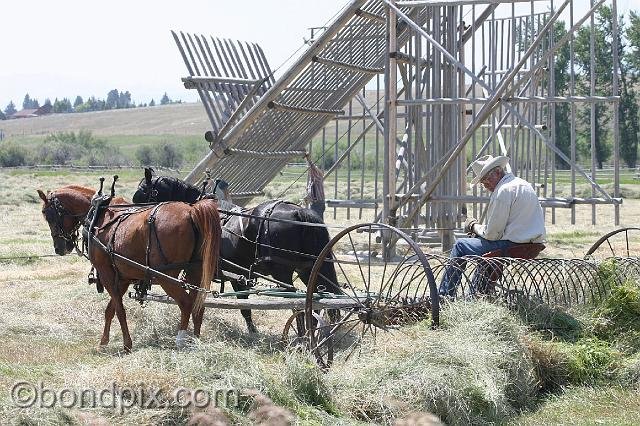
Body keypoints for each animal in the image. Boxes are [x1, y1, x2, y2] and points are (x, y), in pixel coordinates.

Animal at [38, 185, 222, 352]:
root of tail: (192, 210)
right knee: (199, 305)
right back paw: (196, 340)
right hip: (195, 272)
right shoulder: (123, 277)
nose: (59, 248)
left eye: (48, 215)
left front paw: (127, 344)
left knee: (186, 303)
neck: (99, 214)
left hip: (166, 277)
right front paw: (103, 342)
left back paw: (181, 340)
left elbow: (120, 310)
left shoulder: (106, 273)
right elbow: (110, 309)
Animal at [133, 167, 342, 332]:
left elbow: (242, 305)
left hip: (283, 273)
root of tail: (300, 212)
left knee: (296, 302)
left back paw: (302, 335)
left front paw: (252, 331)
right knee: (319, 297)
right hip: (309, 268)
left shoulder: (229, 275)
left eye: (143, 191)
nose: (134, 211)